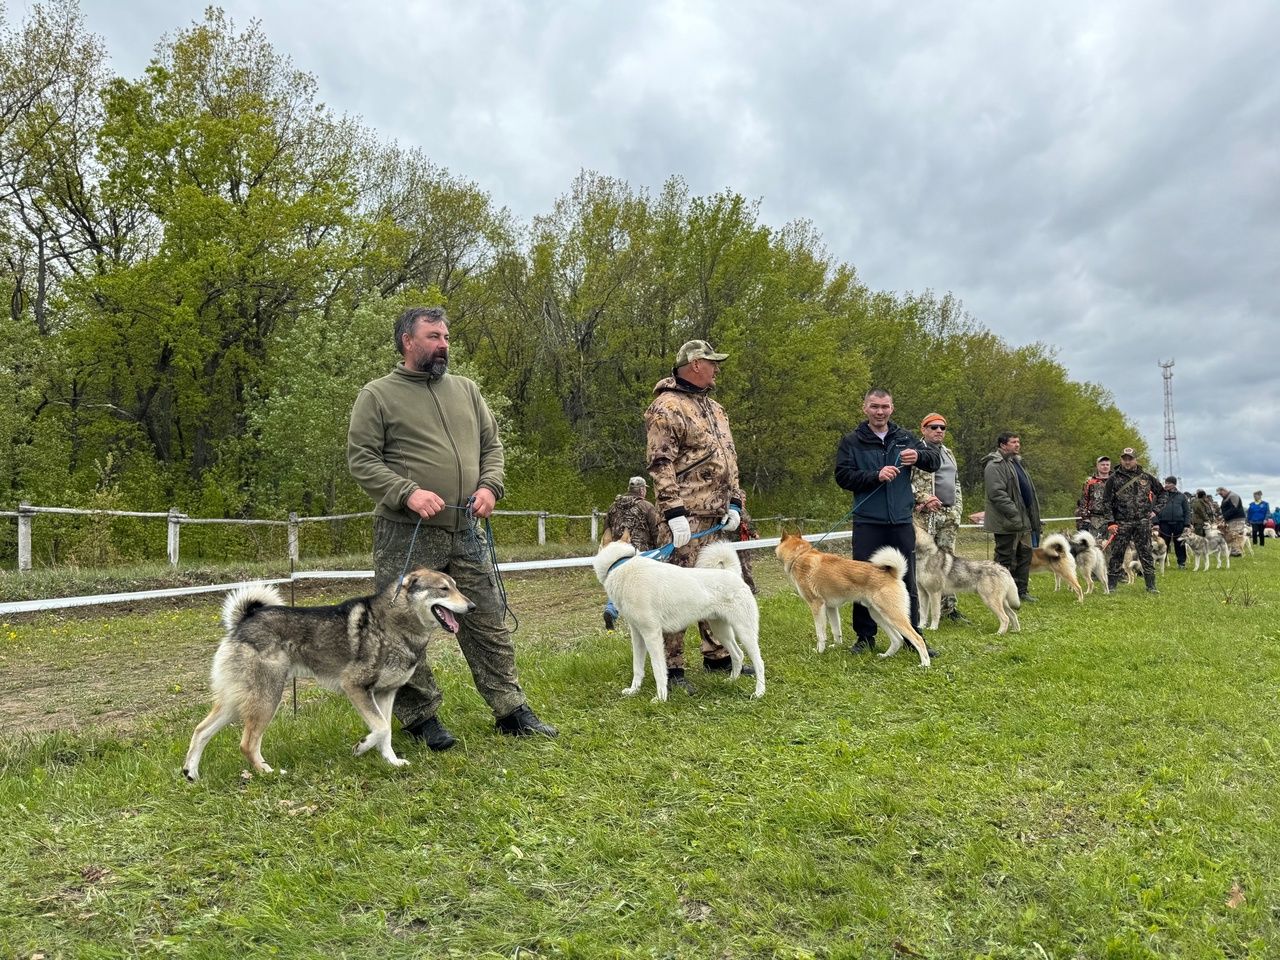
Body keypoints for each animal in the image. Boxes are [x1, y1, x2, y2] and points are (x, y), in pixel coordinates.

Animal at [183, 570, 473, 783]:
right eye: (443, 589)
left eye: (456, 586)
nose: (472, 606)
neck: (394, 624)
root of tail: (246, 619)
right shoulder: (355, 687)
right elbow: (380, 728)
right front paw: (361, 747)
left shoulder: (386, 693)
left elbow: (387, 732)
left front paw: (391, 761)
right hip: (266, 698)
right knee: (246, 744)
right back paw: (268, 772)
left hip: (239, 701)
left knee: (201, 730)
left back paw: (191, 774)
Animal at [593, 529, 762, 701]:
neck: (621, 563)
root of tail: (732, 573)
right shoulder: (638, 635)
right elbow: (637, 668)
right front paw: (634, 691)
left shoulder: (652, 635)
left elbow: (658, 670)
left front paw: (660, 698)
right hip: (721, 631)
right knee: (738, 654)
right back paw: (731, 681)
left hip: (745, 632)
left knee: (759, 662)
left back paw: (759, 692)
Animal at [768, 535, 931, 670]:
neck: (800, 555)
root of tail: (893, 574)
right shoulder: (831, 607)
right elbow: (836, 630)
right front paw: (835, 647)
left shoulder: (817, 606)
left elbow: (820, 634)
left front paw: (819, 651)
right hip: (878, 615)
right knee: (897, 639)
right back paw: (885, 656)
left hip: (893, 616)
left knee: (917, 639)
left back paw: (925, 664)